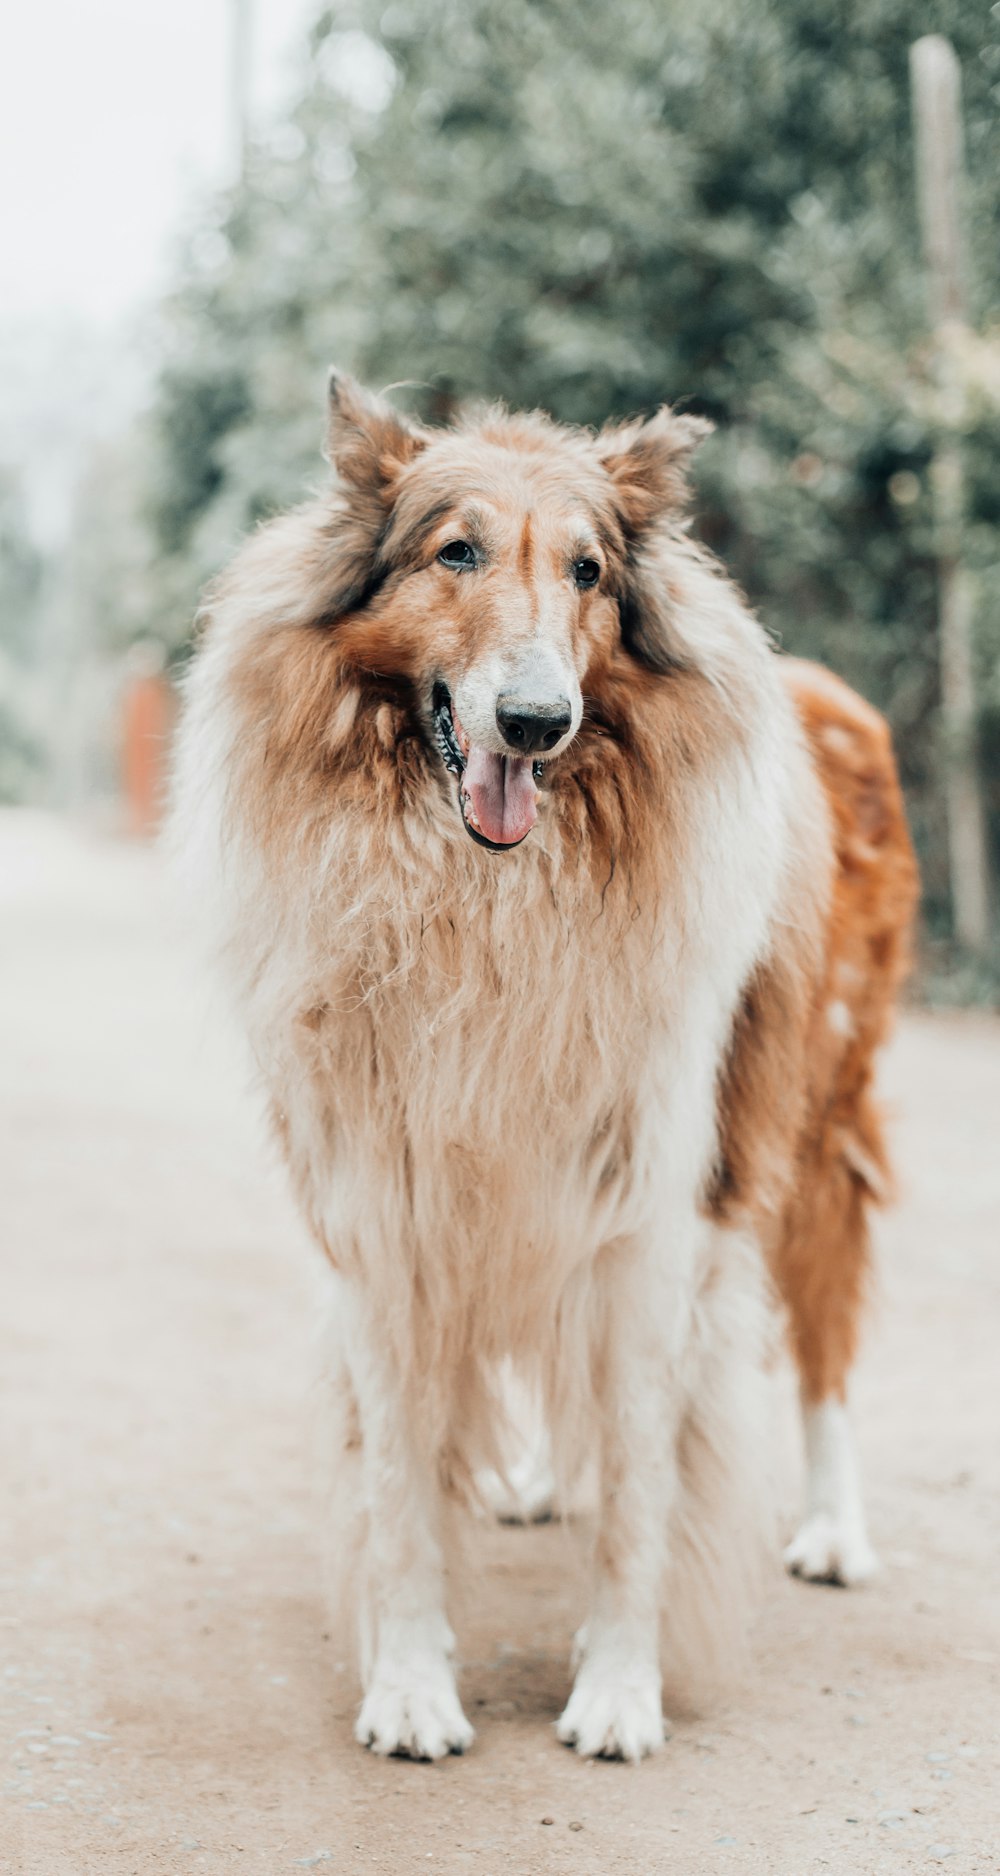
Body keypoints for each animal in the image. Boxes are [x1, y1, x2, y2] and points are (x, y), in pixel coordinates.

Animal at [169, 377, 911, 1755]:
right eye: (454, 551)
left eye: (587, 571)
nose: (535, 720)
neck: (496, 901)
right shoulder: (389, 1204)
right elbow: (404, 1485)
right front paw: (411, 1687)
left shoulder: (659, 1212)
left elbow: (640, 1490)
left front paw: (619, 1690)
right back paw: (532, 1482)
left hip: (809, 1114)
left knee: (822, 1334)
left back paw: (834, 1531)